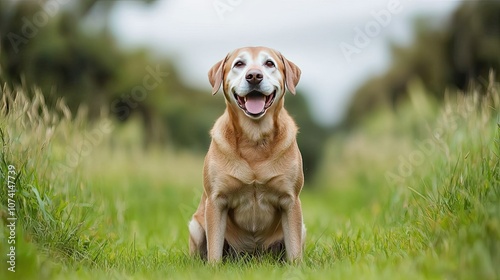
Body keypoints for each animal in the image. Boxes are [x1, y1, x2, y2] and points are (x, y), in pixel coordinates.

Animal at [188, 46, 304, 262]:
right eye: (239, 64)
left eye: (269, 63)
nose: (254, 76)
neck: (254, 139)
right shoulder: (216, 201)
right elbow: (214, 249)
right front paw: (214, 267)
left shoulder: (290, 201)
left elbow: (294, 249)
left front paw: (296, 267)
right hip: (196, 226)